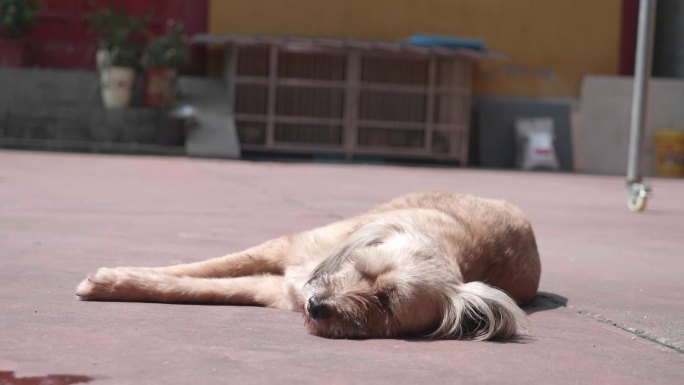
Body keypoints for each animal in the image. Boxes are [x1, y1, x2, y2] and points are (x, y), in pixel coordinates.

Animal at [76, 192, 540, 340]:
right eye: (359, 267)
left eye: (386, 303)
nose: (316, 306)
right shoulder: (283, 250)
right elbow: (198, 270)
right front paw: (113, 279)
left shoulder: (272, 290)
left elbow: (196, 288)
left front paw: (112, 282)